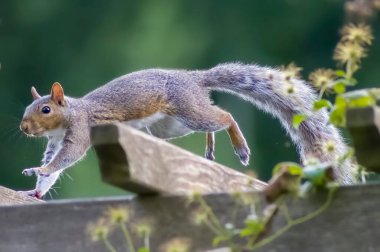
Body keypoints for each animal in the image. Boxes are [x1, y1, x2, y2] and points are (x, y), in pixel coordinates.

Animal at [18, 62, 356, 198]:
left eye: (45, 110)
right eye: (26, 110)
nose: (23, 127)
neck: (70, 112)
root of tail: (194, 79)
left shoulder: (79, 130)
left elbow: (66, 158)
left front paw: (40, 168)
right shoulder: (55, 141)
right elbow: (53, 171)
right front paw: (36, 189)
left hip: (189, 111)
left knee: (225, 116)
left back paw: (238, 144)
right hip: (169, 127)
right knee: (210, 124)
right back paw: (209, 148)